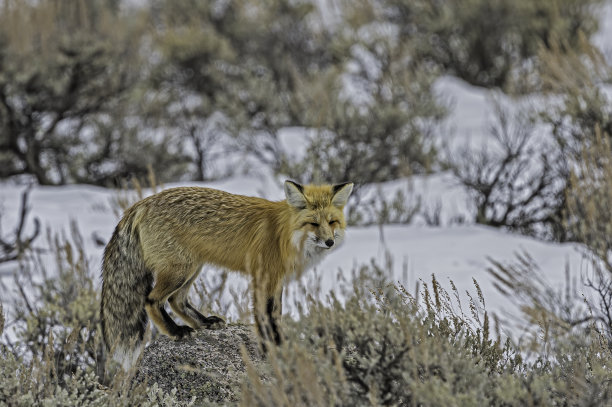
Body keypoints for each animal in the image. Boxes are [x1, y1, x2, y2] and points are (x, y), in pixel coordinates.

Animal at [98, 180, 352, 368]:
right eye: (313, 224)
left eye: (332, 222)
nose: (329, 242)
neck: (284, 235)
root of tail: (141, 203)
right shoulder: (264, 278)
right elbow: (266, 318)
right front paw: (272, 351)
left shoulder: (276, 281)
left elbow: (276, 317)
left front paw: (281, 347)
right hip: (180, 270)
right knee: (151, 299)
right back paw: (176, 331)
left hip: (192, 268)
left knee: (176, 300)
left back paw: (204, 322)